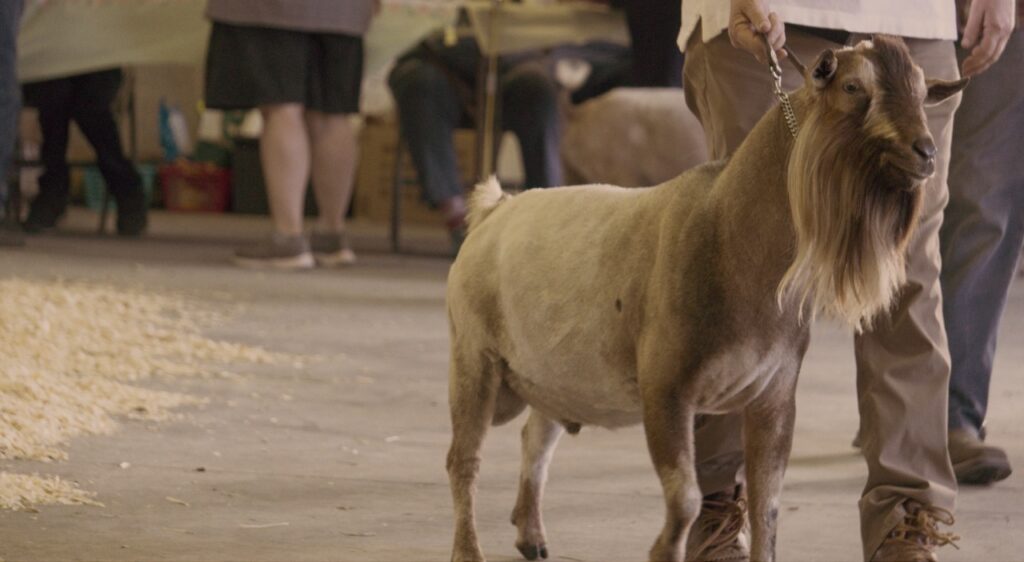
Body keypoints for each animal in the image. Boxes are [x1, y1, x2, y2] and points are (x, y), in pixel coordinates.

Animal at [444, 36, 966, 562]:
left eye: (923, 93)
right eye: (854, 86)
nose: (926, 153)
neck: (725, 229)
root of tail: (495, 209)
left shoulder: (775, 397)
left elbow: (767, 507)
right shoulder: (667, 390)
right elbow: (687, 498)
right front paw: (663, 550)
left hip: (555, 378)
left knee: (535, 439)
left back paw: (531, 535)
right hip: (474, 358)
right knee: (463, 459)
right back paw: (469, 550)